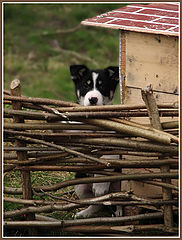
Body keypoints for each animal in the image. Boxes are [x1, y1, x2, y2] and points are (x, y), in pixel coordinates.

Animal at [69, 64, 122, 218]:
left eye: (102, 86)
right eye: (85, 86)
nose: (93, 99)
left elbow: (107, 157)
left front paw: (99, 185)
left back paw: (118, 211)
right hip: (80, 186)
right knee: (97, 203)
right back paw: (85, 213)